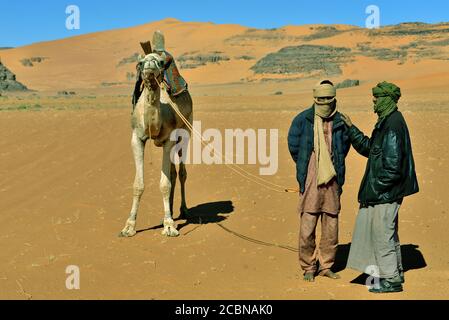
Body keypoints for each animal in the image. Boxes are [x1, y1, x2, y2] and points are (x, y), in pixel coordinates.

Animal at [121, 53, 192, 238]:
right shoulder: (136, 138)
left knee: (181, 173)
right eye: (140, 63)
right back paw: (171, 210)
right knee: (173, 173)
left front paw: (169, 226)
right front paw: (129, 226)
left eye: (160, 62)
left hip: (185, 133)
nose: (150, 64)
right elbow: (138, 184)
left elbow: (164, 184)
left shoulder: (168, 139)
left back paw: (183, 210)